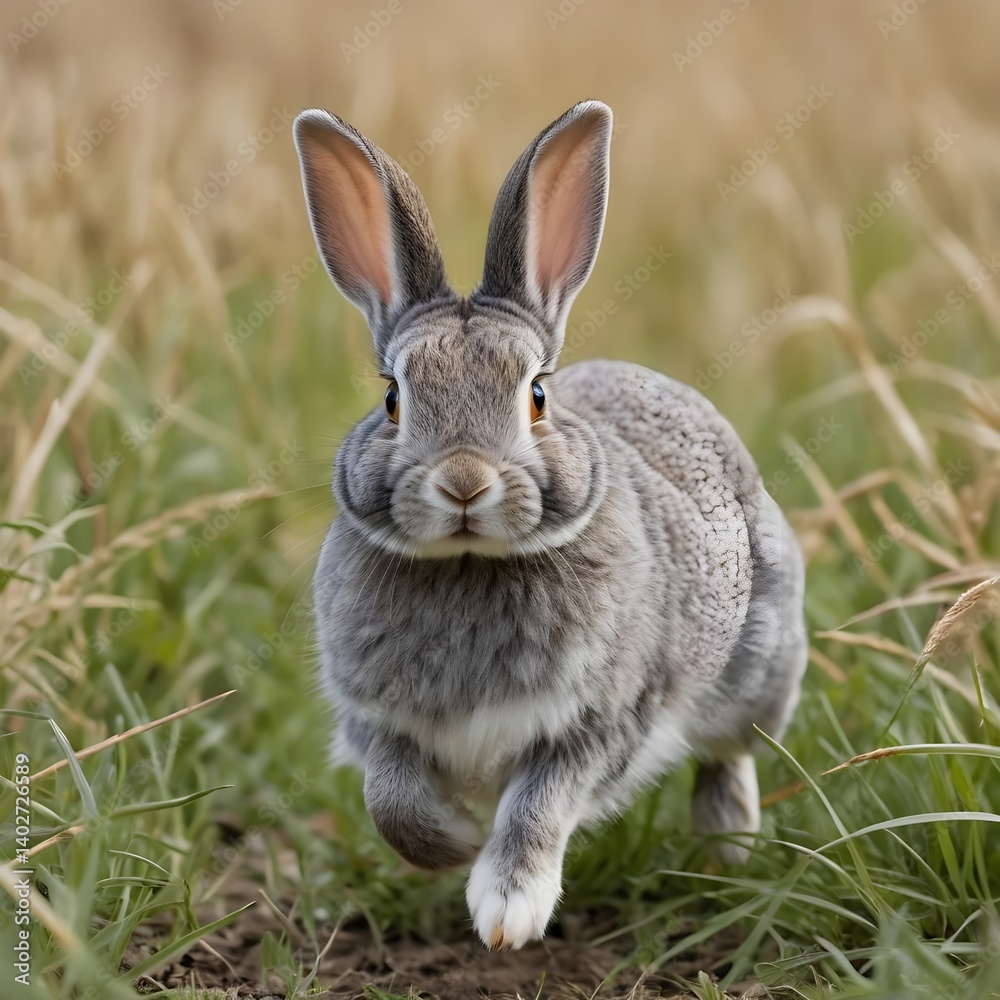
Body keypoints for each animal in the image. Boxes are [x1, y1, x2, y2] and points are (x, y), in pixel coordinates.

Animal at [294, 99, 807, 951]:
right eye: (393, 398)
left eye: (536, 395)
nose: (465, 481)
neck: (470, 563)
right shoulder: (380, 727)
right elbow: (392, 804)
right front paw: (456, 843)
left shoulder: (596, 724)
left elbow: (538, 808)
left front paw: (507, 907)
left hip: (758, 669)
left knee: (728, 755)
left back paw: (727, 848)